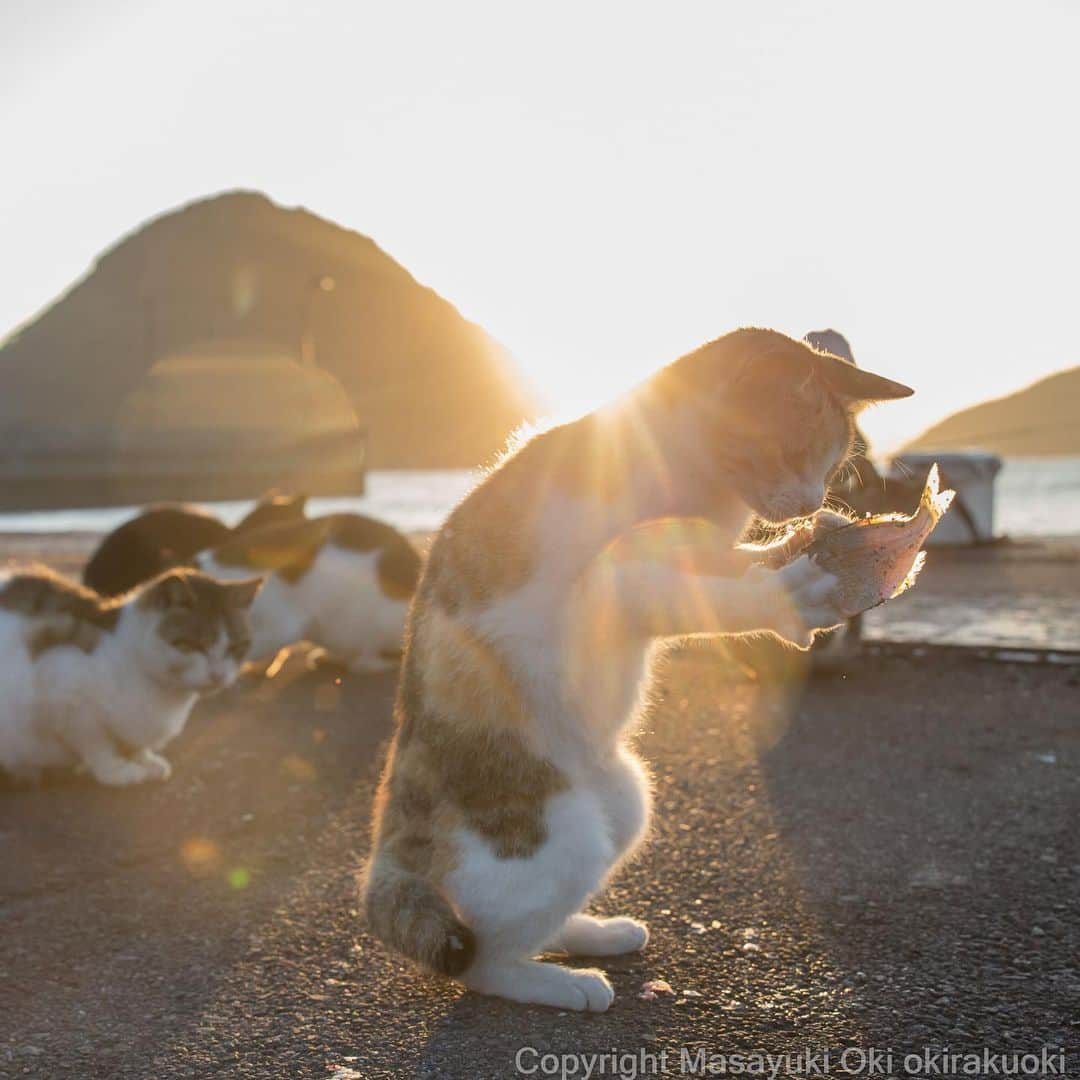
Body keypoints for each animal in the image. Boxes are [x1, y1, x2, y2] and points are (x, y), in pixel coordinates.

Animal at [0, 565, 260, 786]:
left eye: (236, 647)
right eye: (194, 645)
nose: (219, 675)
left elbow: (135, 744)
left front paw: (144, 759)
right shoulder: (64, 690)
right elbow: (97, 745)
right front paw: (115, 771)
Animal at [360, 328, 911, 1010]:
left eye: (834, 468)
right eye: (785, 450)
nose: (811, 501)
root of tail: (395, 820)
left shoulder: (702, 548)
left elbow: (730, 566)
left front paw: (810, 544)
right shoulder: (608, 582)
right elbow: (700, 593)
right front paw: (795, 595)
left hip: (625, 799)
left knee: (527, 920)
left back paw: (591, 933)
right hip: (556, 832)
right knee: (481, 961)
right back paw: (561, 984)